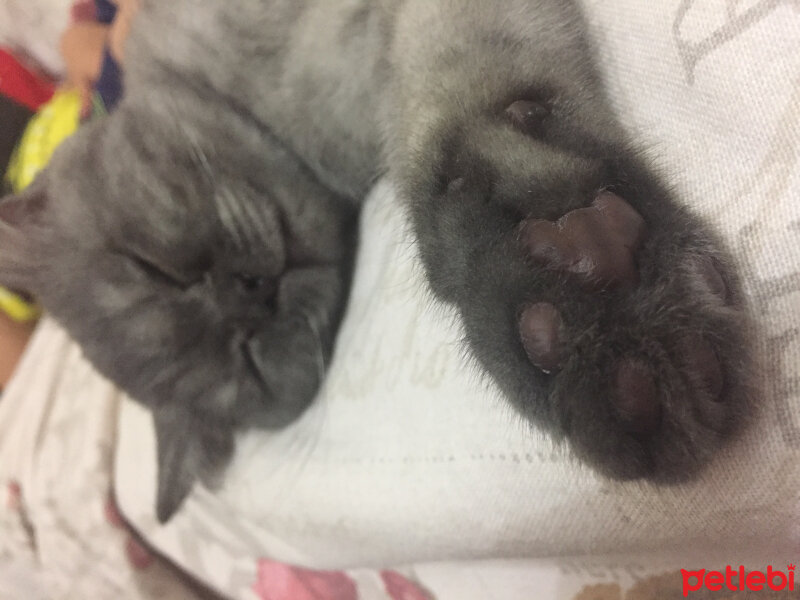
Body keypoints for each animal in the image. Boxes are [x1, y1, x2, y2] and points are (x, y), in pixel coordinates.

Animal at [0, 0, 752, 524]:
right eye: (252, 360)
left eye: (149, 268)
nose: (251, 291)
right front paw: (570, 286)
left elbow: (464, 101)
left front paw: (588, 258)